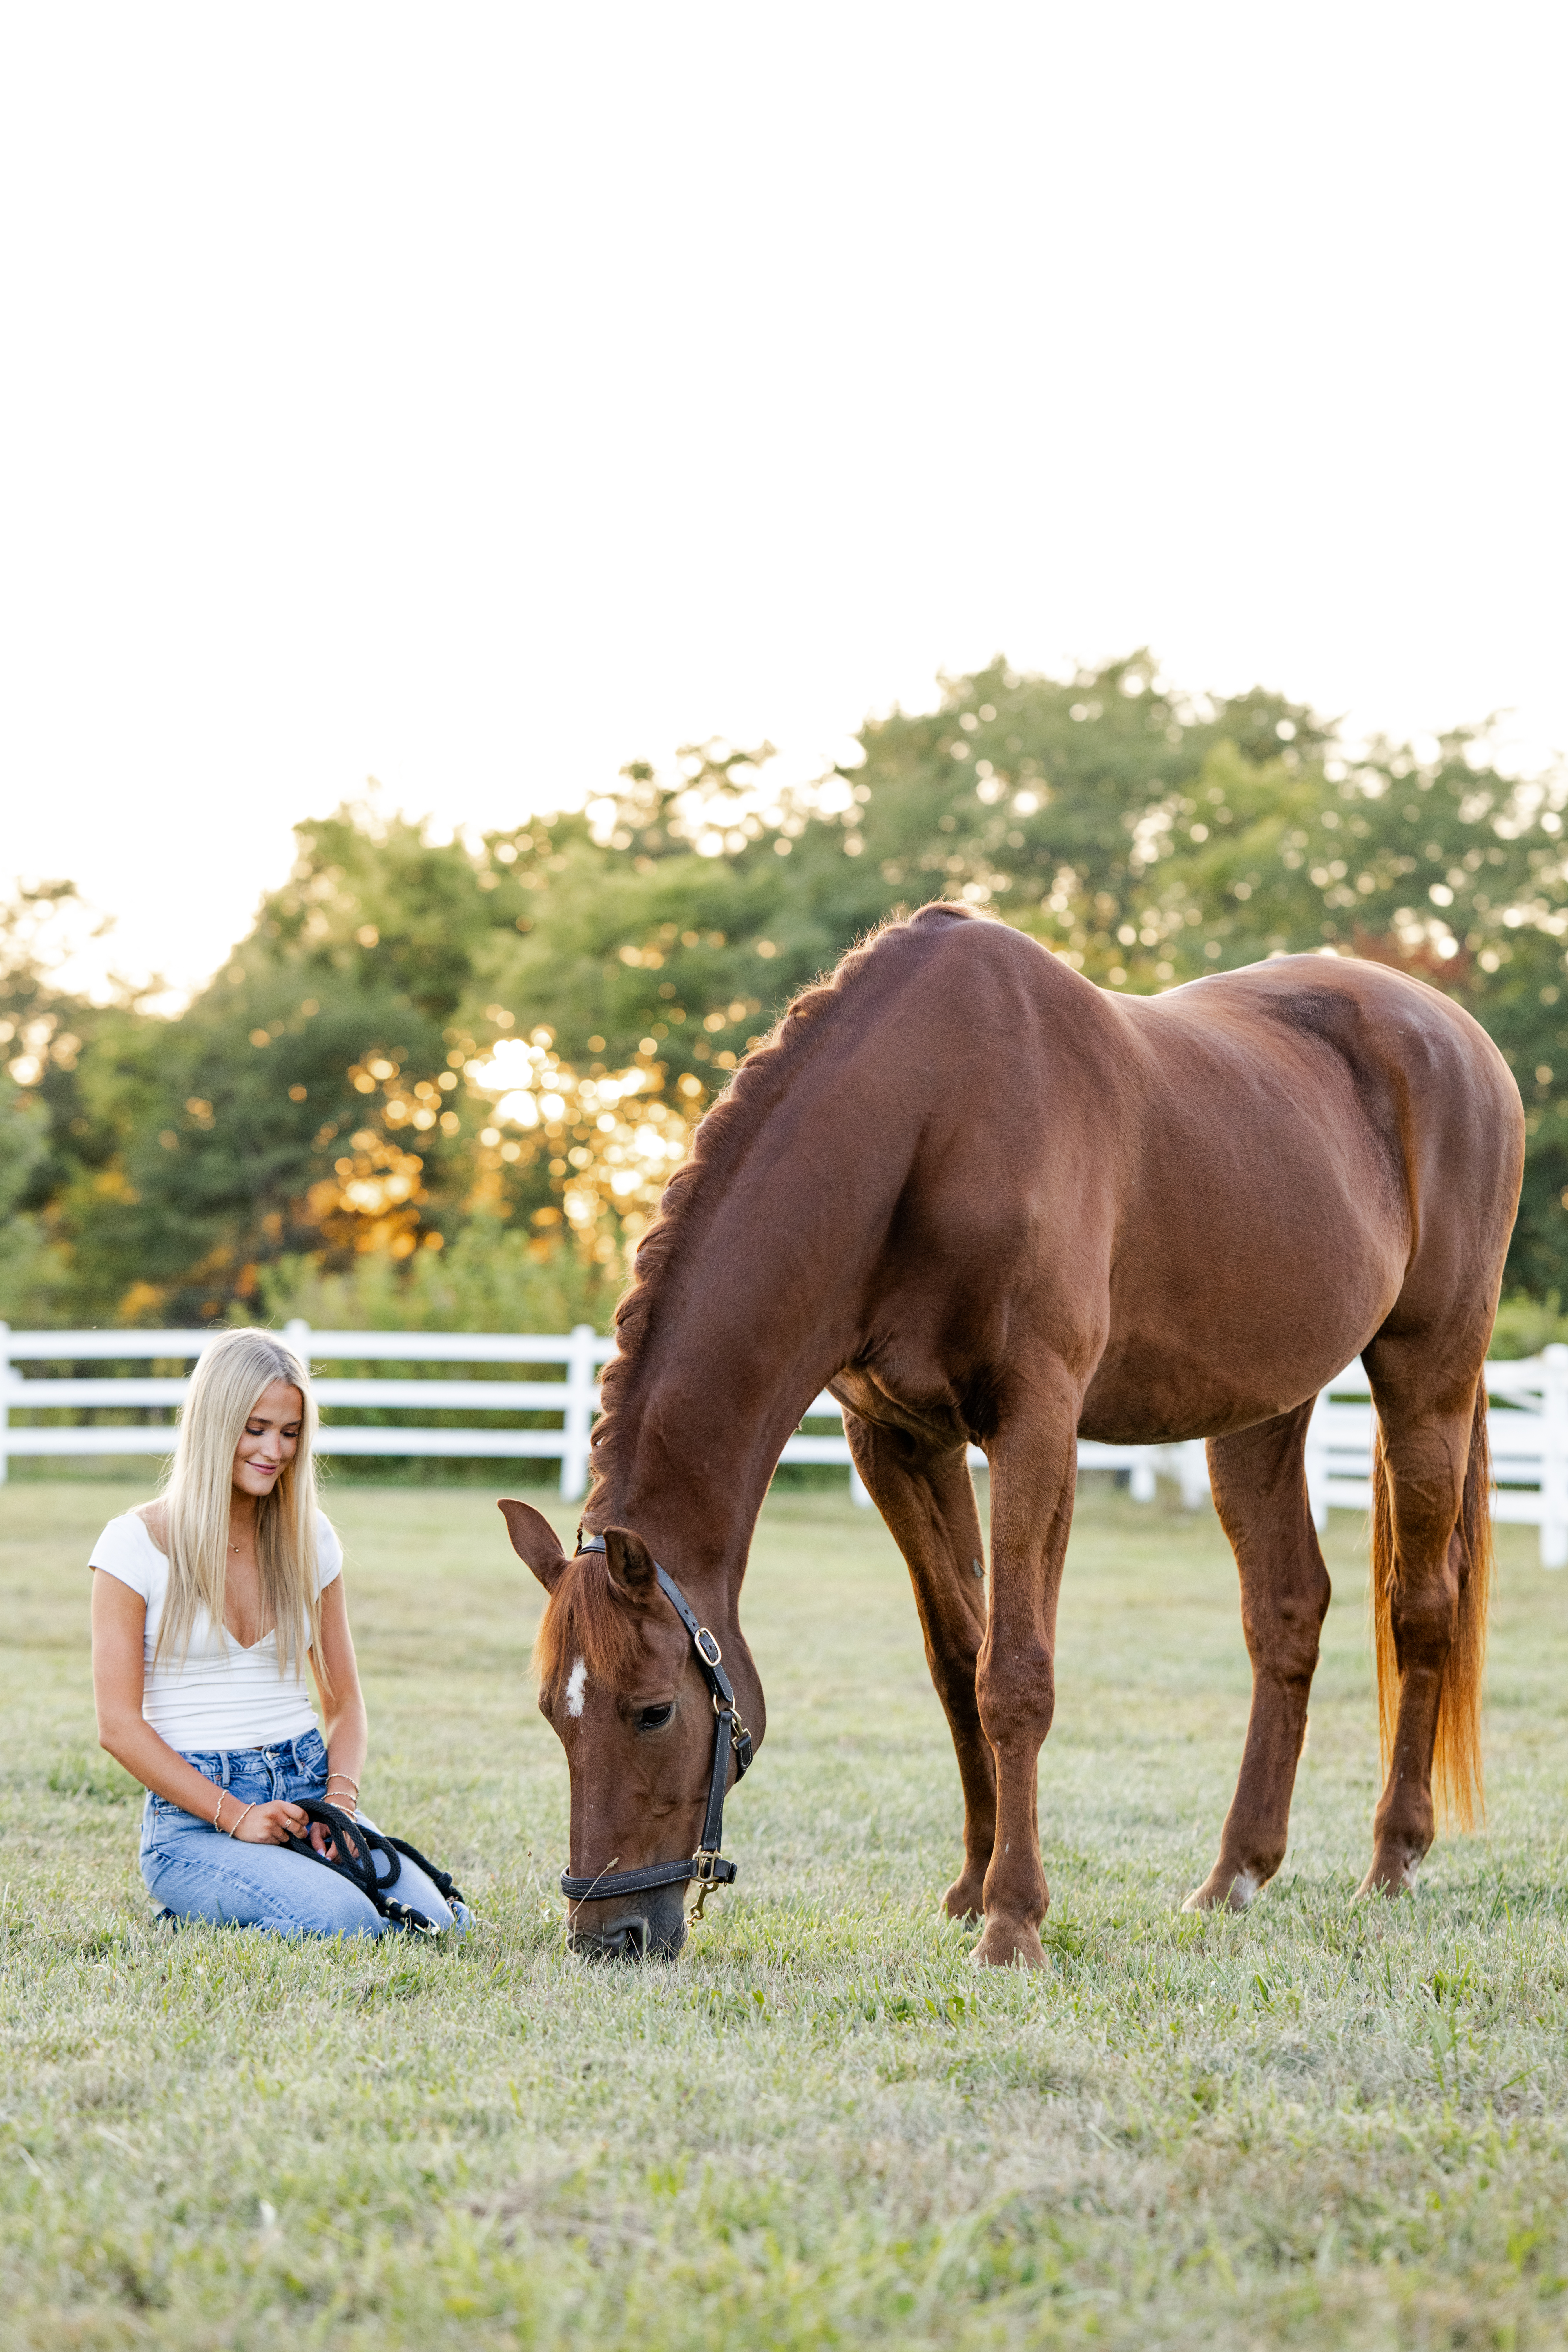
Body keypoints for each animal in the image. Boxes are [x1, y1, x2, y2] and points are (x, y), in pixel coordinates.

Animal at [500, 901, 1523, 1965]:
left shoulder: (1034, 1426)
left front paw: (1012, 1919)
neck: (927, 1120)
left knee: (1421, 1607)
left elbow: (1015, 1674)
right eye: (551, 1712)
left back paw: (1392, 1861)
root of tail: (1456, 1035)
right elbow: (959, 1664)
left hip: (1427, 1377)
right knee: (1284, 1612)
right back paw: (1233, 1874)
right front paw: (970, 1885)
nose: (606, 1933)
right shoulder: (898, 1441)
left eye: (652, 1710)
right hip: (1259, 1413)